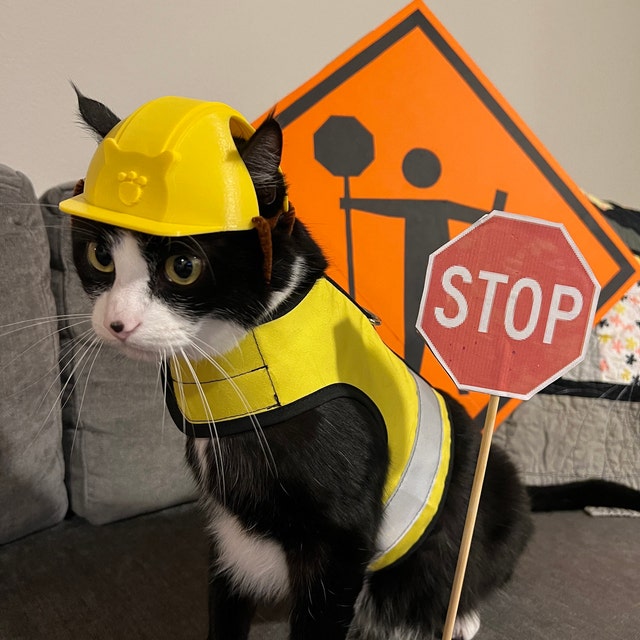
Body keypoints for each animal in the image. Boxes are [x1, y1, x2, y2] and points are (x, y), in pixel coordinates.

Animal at [67, 91, 532, 640]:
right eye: (100, 256)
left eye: (183, 266)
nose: (117, 322)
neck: (233, 362)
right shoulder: (227, 525)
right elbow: (226, 597)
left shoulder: (341, 535)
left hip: (495, 490)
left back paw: (454, 616)